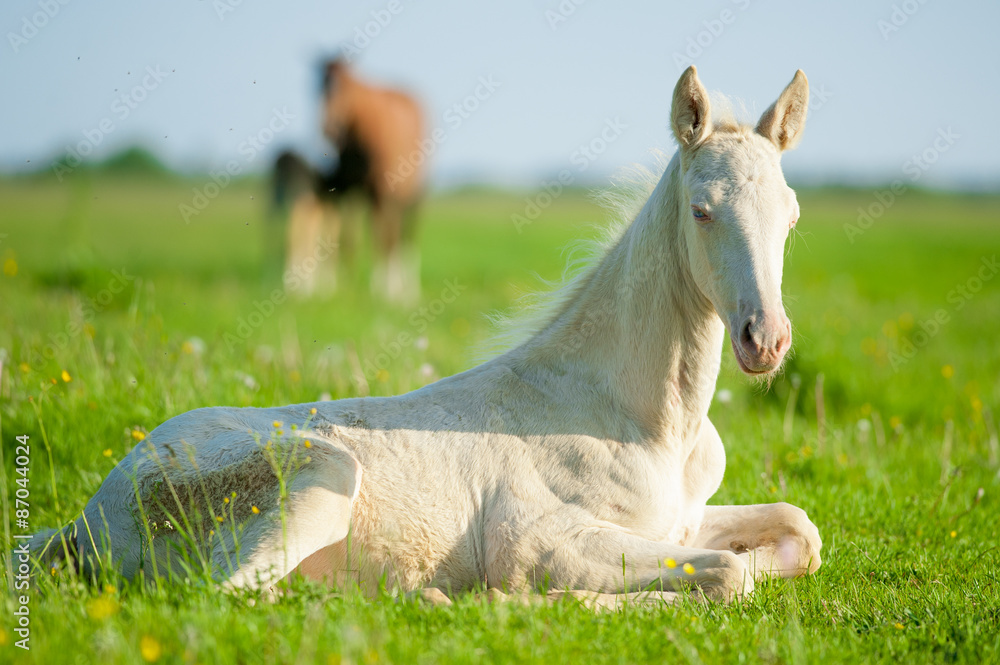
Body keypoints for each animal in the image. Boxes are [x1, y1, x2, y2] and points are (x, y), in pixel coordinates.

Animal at [275, 59, 425, 302]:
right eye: (316, 88)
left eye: (345, 88)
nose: (327, 128)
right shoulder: (344, 189)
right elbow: (344, 237)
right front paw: (336, 287)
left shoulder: (381, 190)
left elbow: (383, 237)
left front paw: (388, 291)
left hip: (413, 195)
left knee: (400, 235)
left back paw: (405, 290)